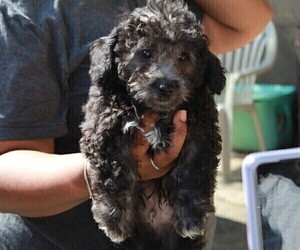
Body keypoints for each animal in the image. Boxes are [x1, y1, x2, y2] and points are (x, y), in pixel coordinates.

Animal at [79, 0, 225, 248]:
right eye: (145, 53)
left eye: (184, 57)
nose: (165, 86)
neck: (156, 111)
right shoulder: (106, 128)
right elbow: (115, 173)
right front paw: (115, 220)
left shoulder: (201, 133)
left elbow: (192, 172)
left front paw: (192, 218)